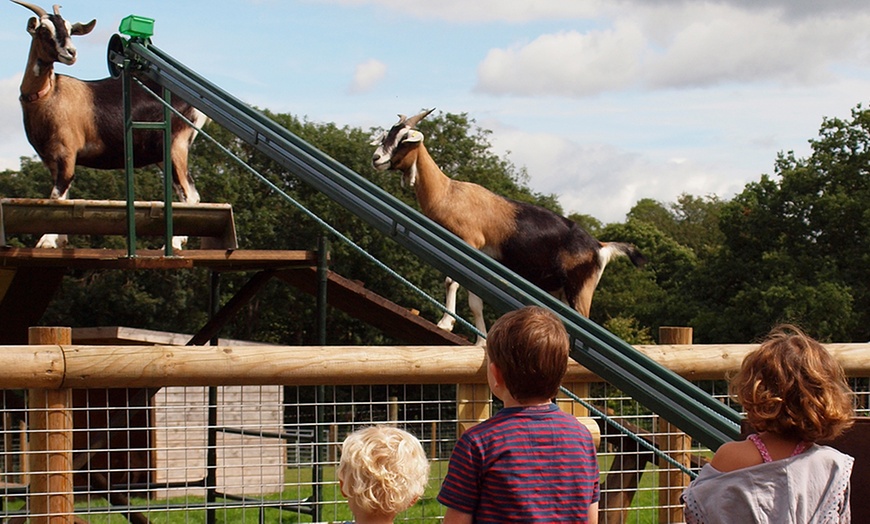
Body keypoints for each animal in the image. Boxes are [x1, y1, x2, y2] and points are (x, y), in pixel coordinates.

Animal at [12, 1, 207, 249]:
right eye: (44, 30)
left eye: (70, 29)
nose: (71, 53)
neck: (50, 93)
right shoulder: (52, 159)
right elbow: (64, 197)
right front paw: (61, 239)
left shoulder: (66, 152)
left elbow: (56, 196)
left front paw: (47, 241)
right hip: (164, 155)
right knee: (188, 193)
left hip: (176, 146)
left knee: (189, 195)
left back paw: (171, 244)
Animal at [370, 108, 648, 344]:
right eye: (387, 134)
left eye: (404, 139)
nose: (376, 158)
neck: (448, 193)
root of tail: (600, 246)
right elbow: (475, 300)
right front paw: (480, 342)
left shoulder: (469, 241)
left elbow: (452, 282)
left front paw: (445, 323)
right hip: (562, 291)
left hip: (580, 290)